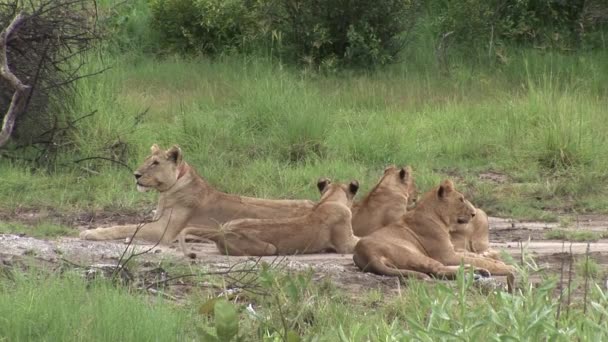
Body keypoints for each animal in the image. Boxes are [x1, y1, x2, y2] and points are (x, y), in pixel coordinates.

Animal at [79, 144, 314, 243]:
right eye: (147, 159)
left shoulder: (164, 231)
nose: (135, 175)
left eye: (155, 163)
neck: (165, 194)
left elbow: (126, 226)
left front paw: (92, 232)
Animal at [354, 179, 516, 292]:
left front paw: (498, 262)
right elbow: (479, 260)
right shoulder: (446, 255)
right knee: (437, 270)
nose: (474, 213)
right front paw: (508, 267)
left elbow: (477, 257)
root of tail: (368, 255)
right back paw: (478, 272)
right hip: (414, 254)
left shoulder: (453, 251)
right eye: (461, 199)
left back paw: (477, 272)